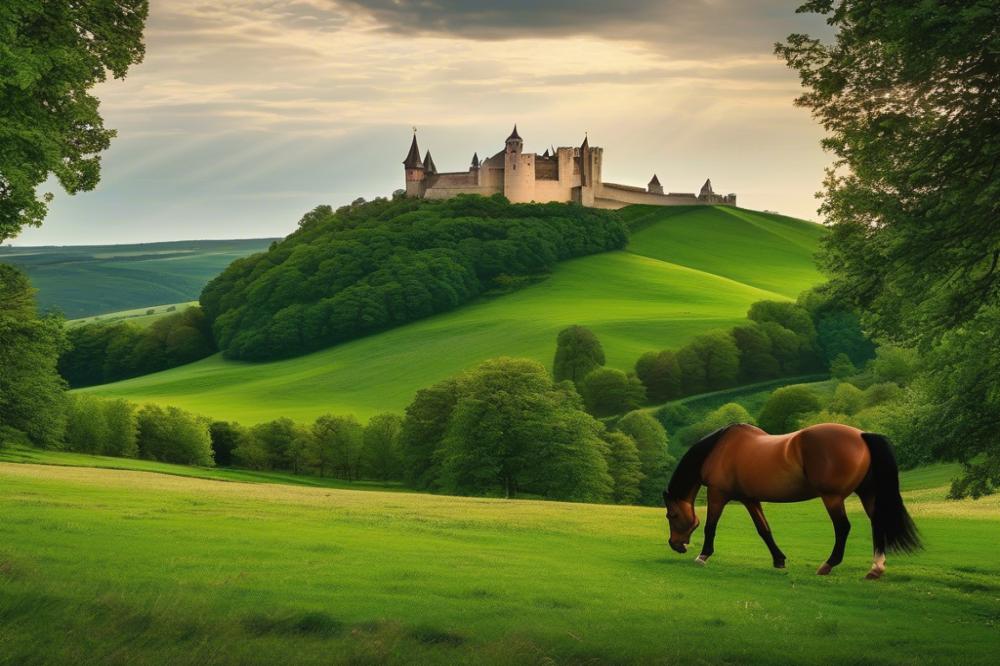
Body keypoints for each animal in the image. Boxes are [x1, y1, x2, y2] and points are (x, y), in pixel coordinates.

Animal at [662, 423, 921, 579]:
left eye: (671, 515)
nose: (675, 544)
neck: (719, 449)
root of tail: (862, 435)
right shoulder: (750, 499)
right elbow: (764, 530)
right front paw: (779, 560)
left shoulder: (717, 494)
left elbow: (710, 526)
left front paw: (703, 556)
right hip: (868, 493)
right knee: (877, 523)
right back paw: (876, 568)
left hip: (833, 498)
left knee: (842, 528)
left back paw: (828, 565)